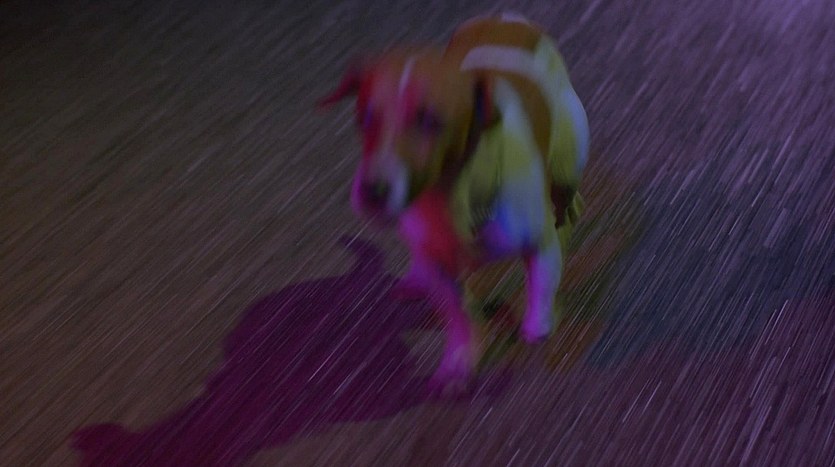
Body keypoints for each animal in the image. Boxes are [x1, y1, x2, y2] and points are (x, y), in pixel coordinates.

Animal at [319, 13, 589, 392]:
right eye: (366, 118)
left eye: (431, 121)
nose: (372, 192)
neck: (453, 198)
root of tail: (507, 18)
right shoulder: (443, 270)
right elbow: (459, 314)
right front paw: (460, 358)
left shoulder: (539, 242)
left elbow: (542, 281)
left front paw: (538, 324)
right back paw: (415, 277)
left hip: (571, 151)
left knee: (564, 190)